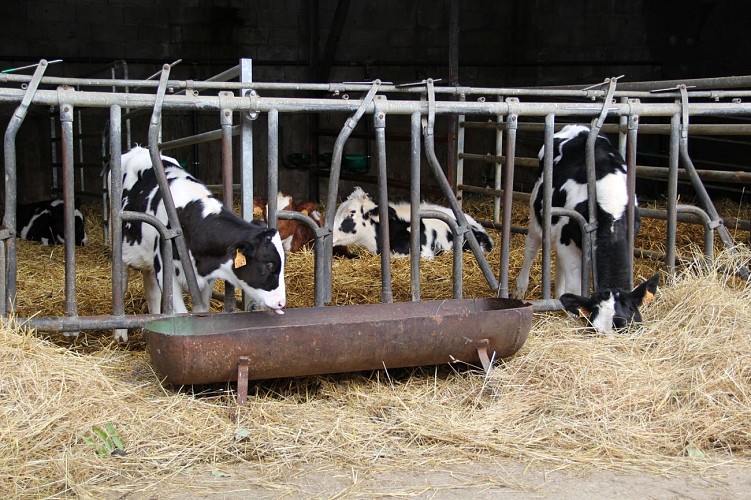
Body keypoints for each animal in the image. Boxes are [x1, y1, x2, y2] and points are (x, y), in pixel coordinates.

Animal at [114, 145, 288, 340]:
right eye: (269, 265)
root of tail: (138, 148)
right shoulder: (165, 271)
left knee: (151, 291)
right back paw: (120, 334)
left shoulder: (207, 278)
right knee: (121, 286)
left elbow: (202, 311)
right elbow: (181, 315)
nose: (281, 303)